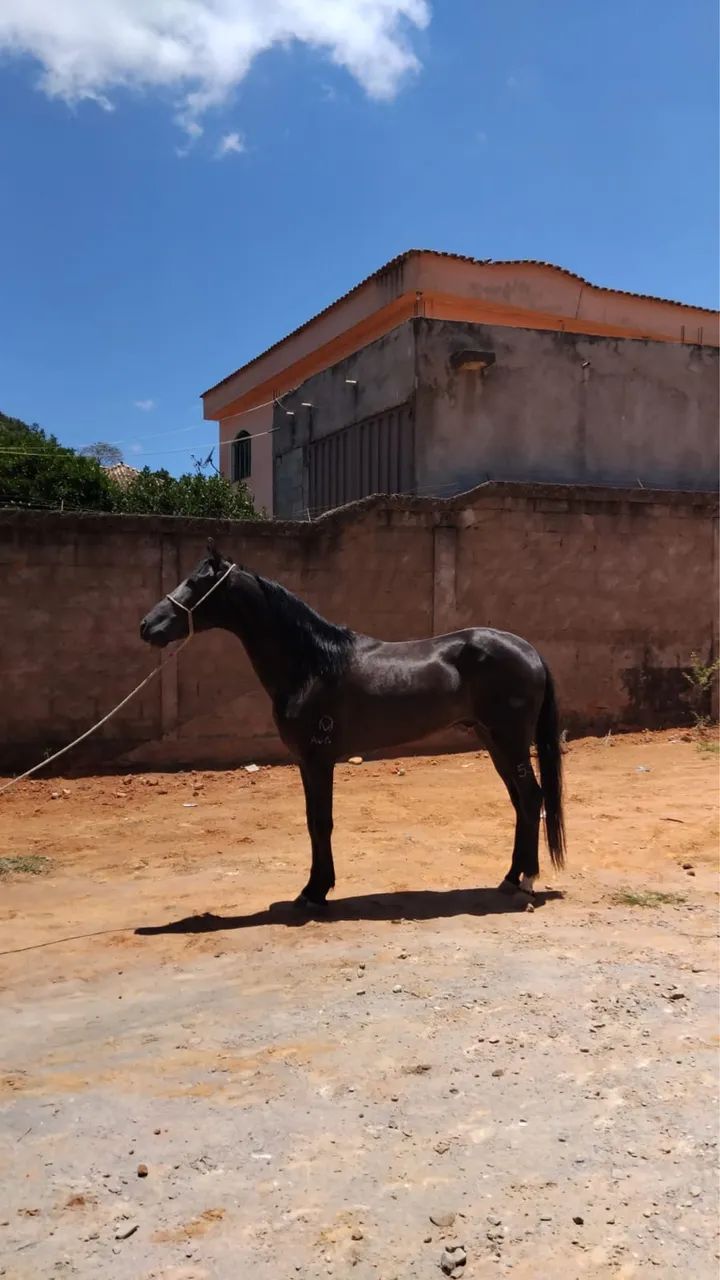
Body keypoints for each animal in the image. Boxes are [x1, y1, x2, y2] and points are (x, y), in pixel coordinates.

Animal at [140, 539, 566, 910]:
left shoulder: (318, 760)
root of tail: (529, 651)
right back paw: (510, 878)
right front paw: (316, 888)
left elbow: (320, 823)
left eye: (196, 582)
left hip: (510, 740)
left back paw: (526, 882)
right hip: (493, 741)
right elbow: (314, 821)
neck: (312, 664)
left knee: (531, 798)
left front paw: (314, 893)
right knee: (520, 801)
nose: (146, 626)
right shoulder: (307, 762)